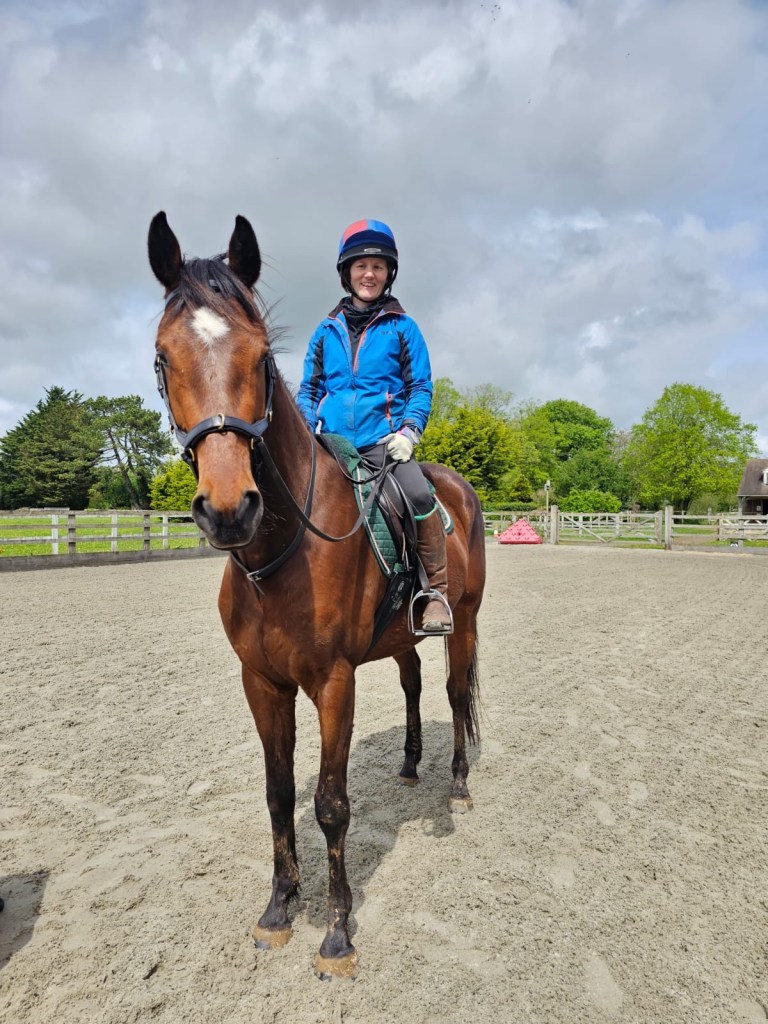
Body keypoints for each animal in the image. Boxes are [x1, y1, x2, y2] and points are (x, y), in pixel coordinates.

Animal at [148, 212, 486, 979]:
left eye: (258, 357)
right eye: (163, 359)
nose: (228, 510)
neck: (281, 553)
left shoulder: (332, 681)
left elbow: (331, 803)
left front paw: (335, 934)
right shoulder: (262, 682)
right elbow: (279, 796)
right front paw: (278, 909)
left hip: (464, 621)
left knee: (455, 694)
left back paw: (455, 782)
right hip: (399, 637)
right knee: (414, 684)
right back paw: (411, 765)